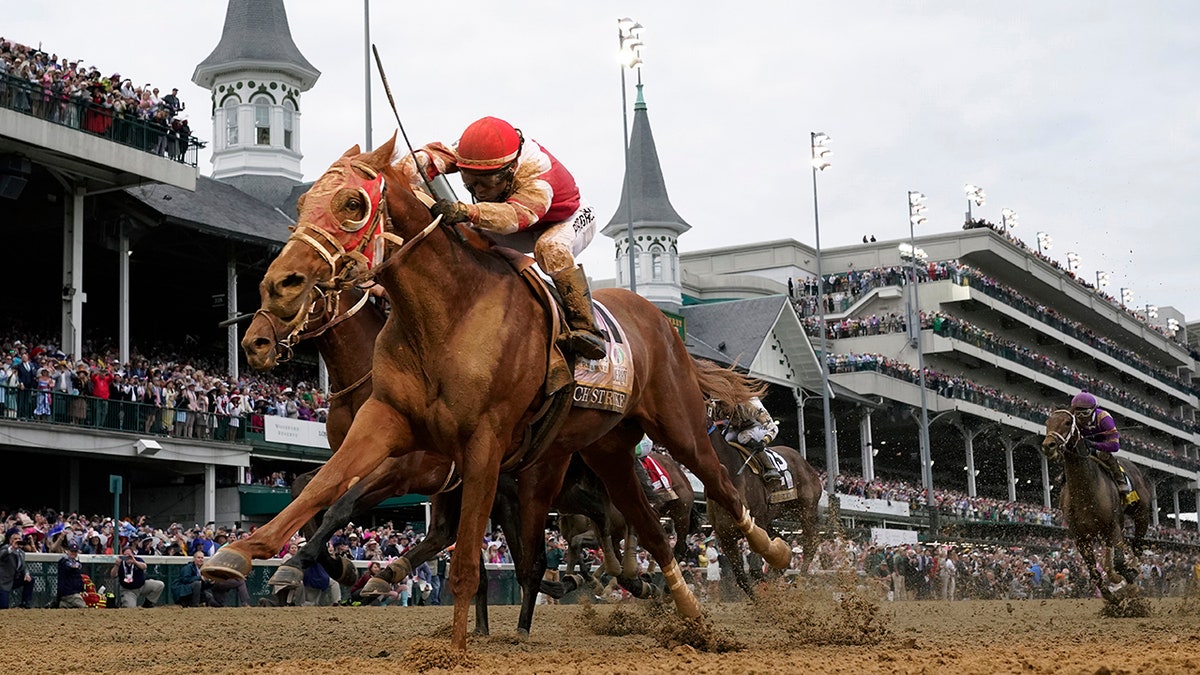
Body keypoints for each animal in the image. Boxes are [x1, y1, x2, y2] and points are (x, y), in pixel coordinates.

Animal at [204, 135, 787, 648]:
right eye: (304, 203)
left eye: (353, 203)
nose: (270, 304)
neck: (447, 316)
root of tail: (662, 321)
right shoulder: (389, 425)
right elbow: (321, 491)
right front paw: (246, 555)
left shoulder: (465, 449)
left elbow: (456, 557)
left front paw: (456, 645)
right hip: (607, 453)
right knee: (645, 531)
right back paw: (684, 613)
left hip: (676, 426)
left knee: (720, 493)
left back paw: (772, 554)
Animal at [1041, 408, 1152, 595]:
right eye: (1047, 422)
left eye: (1067, 422)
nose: (1048, 446)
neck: (1085, 491)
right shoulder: (1080, 536)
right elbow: (1094, 572)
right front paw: (1112, 596)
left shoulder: (1114, 526)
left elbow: (1120, 562)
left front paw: (1128, 579)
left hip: (1140, 514)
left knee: (1137, 545)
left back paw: (1133, 568)